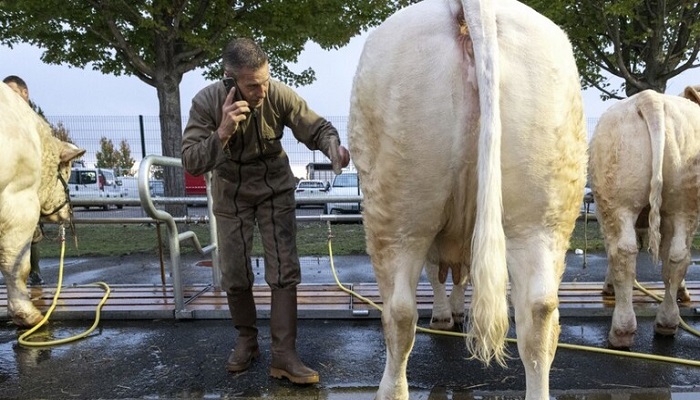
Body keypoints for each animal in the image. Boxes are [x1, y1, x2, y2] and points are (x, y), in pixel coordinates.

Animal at [348, 0, 584, 396]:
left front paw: (446, 315)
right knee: (538, 312)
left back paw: (389, 390)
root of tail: (474, 6)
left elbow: (438, 273)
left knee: (399, 311)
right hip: (542, 209)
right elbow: (460, 275)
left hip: (398, 208)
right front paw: (456, 310)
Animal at [592, 85, 700, 350]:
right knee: (677, 255)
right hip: (682, 203)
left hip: (617, 201)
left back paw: (624, 330)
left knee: (625, 251)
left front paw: (609, 287)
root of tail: (650, 98)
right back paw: (666, 323)